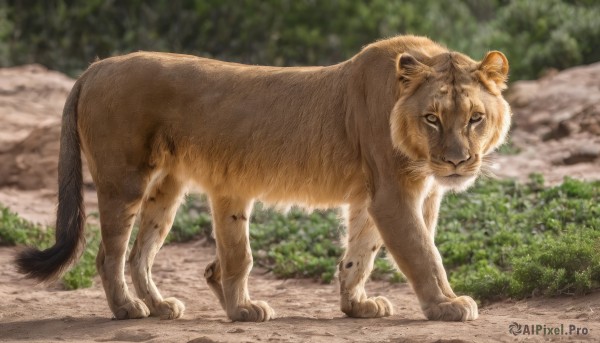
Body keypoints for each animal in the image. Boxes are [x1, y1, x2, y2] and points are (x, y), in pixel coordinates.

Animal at [15, 35, 510, 322]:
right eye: (432, 118)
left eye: (475, 118)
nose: (456, 163)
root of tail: (97, 66)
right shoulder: (392, 192)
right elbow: (423, 252)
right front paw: (447, 305)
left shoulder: (388, 195)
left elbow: (361, 253)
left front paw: (356, 306)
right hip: (125, 180)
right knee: (109, 255)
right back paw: (127, 309)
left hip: (166, 188)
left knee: (141, 254)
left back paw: (159, 306)